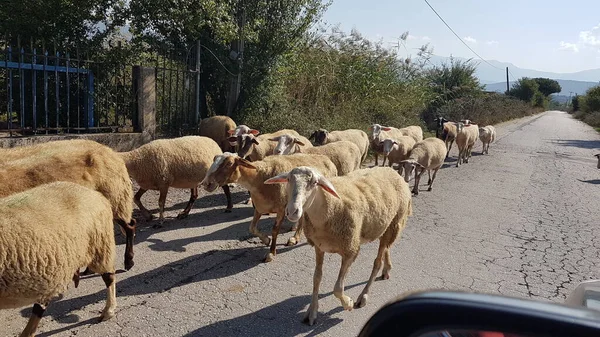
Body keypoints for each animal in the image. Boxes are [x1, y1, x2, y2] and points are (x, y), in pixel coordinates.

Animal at [199, 151, 336, 262]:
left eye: (229, 163)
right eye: (214, 159)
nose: (206, 183)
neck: (260, 179)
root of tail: (326, 158)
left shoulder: (281, 209)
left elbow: (275, 230)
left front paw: (271, 252)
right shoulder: (259, 208)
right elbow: (252, 228)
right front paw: (266, 240)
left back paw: (297, 238)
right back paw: (294, 234)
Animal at [266, 165, 412, 322]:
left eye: (315, 183)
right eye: (288, 179)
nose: (292, 211)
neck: (330, 208)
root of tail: (393, 171)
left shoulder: (350, 250)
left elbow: (337, 288)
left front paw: (348, 303)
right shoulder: (319, 246)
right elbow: (317, 278)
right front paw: (312, 311)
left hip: (394, 222)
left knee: (377, 262)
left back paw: (363, 296)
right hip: (385, 227)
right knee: (386, 248)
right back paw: (387, 268)